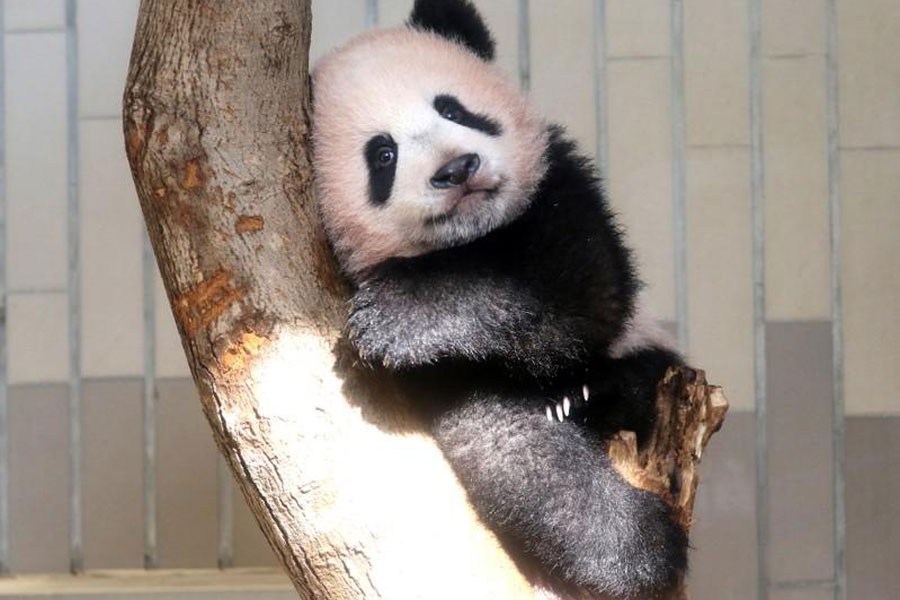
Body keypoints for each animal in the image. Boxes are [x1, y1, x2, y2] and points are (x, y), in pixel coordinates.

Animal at [311, 0, 688, 597]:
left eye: (455, 109)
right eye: (383, 154)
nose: (457, 169)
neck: (473, 238)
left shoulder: (561, 189)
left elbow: (580, 287)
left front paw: (398, 315)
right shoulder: (440, 376)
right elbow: (513, 452)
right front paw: (637, 551)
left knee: (641, 376)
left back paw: (599, 395)